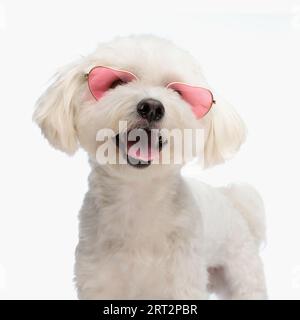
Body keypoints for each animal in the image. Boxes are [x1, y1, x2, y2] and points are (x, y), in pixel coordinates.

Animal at [33, 35, 268, 300]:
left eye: (177, 91)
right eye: (117, 82)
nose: (152, 107)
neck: (139, 198)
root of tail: (234, 203)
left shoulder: (182, 282)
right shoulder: (98, 279)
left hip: (242, 273)